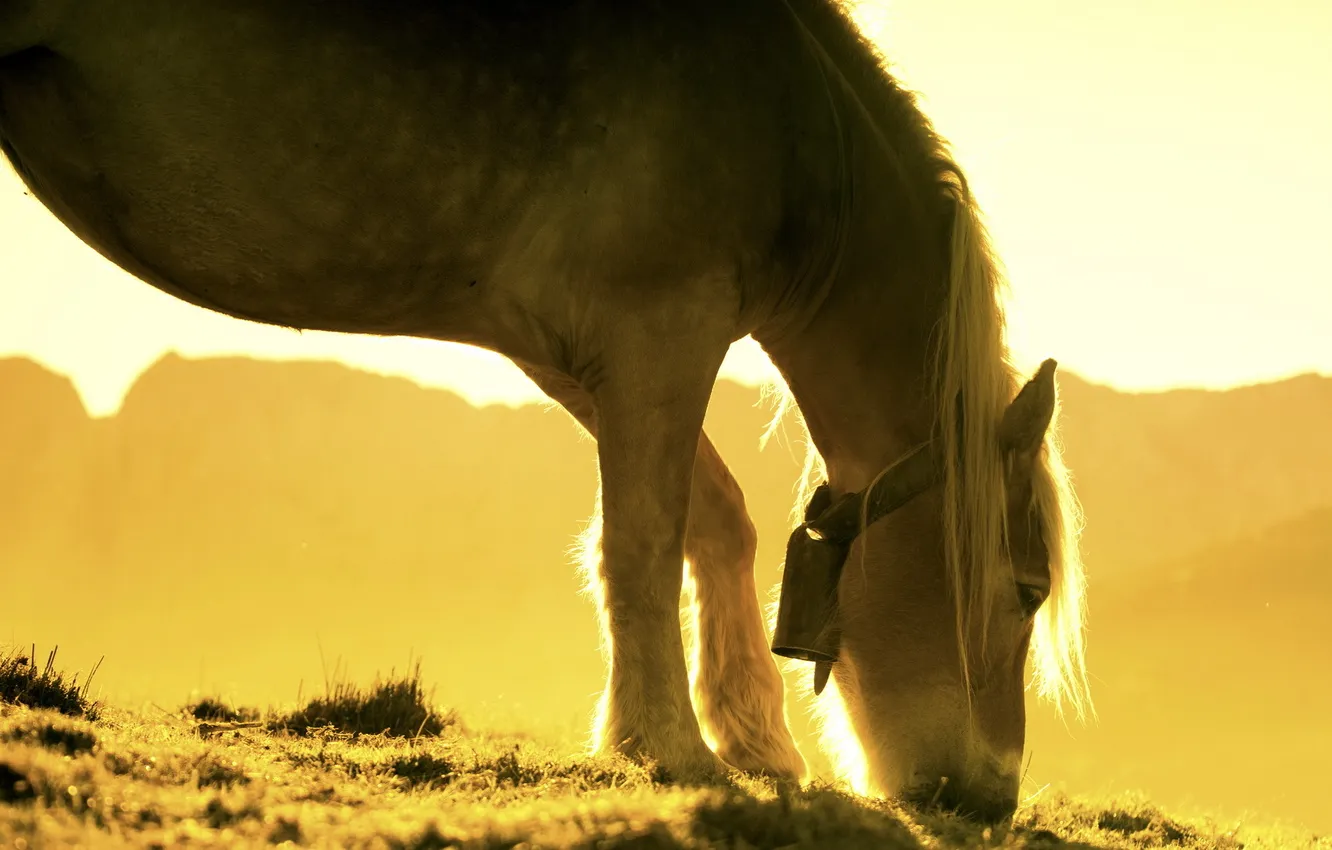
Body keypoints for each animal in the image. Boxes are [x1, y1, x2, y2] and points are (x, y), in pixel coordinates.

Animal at [0, 0, 1090, 822]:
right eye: (1028, 587)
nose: (991, 798)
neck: (785, 126)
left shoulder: (580, 355)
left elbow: (710, 517)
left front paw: (748, 733)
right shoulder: (662, 332)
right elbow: (644, 539)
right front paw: (673, 746)